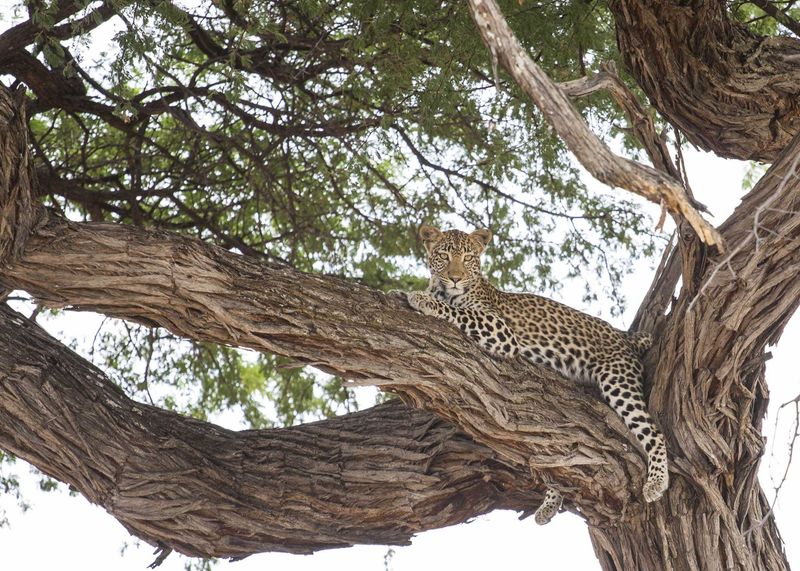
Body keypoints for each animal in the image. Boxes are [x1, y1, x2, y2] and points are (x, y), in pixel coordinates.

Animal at [404, 225, 669, 524]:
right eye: (444, 255)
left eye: (468, 257)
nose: (455, 279)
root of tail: (624, 337)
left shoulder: (500, 330)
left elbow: (458, 311)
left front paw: (421, 298)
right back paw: (550, 503)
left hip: (618, 379)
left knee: (654, 432)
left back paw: (656, 482)